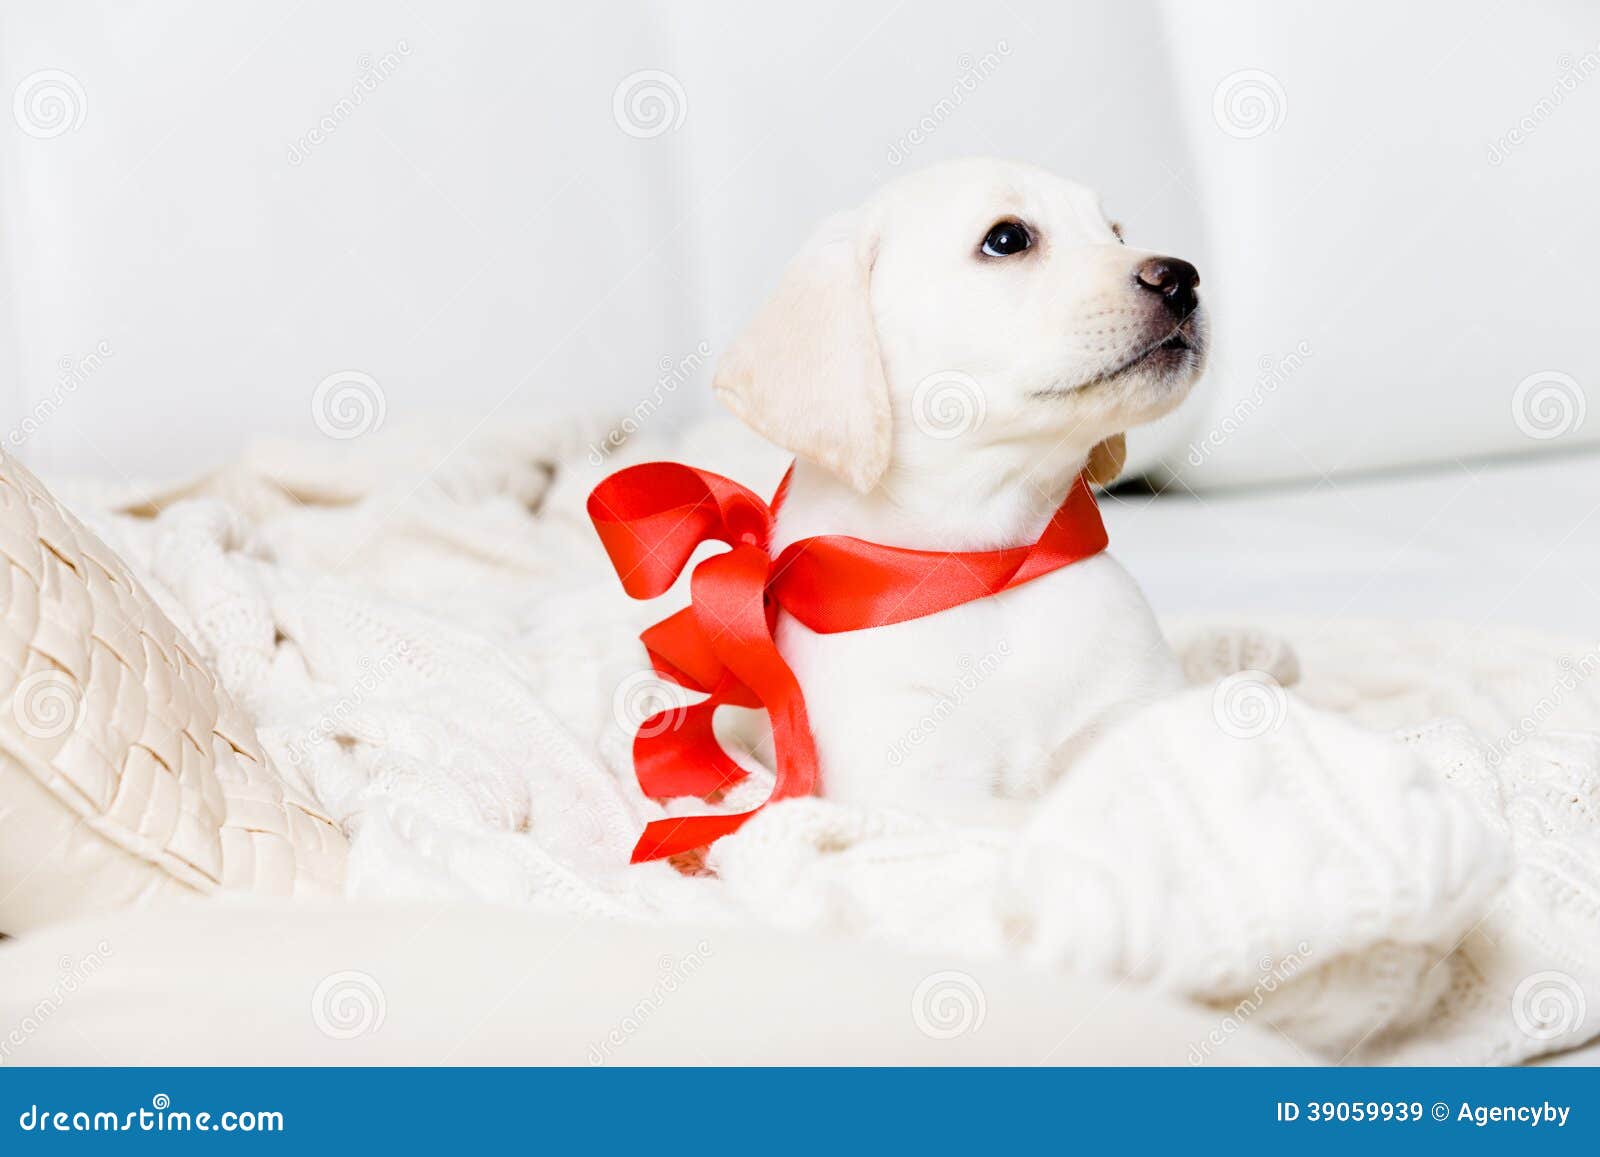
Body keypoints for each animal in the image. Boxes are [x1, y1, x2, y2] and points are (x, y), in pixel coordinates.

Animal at [720, 158, 1203, 825]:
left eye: (1117, 233)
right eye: (1007, 239)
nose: (1183, 278)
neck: (990, 563)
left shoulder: (1139, 707)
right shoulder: (920, 787)